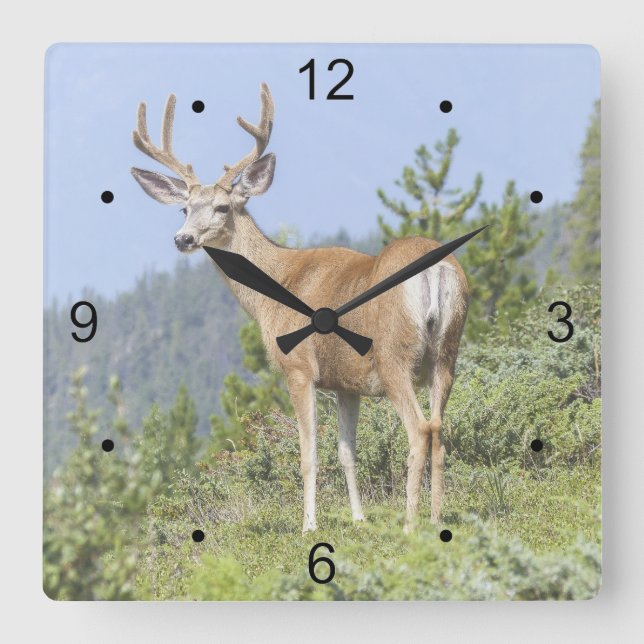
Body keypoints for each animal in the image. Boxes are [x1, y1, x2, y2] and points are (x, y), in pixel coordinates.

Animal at [130, 83, 469, 534]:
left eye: (222, 207)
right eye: (185, 208)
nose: (182, 239)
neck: (275, 288)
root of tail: (436, 271)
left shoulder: (299, 368)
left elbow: (308, 455)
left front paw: (309, 524)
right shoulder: (346, 383)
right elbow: (347, 453)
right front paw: (358, 518)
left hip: (394, 354)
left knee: (420, 429)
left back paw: (410, 524)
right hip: (446, 353)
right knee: (440, 430)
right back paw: (435, 518)